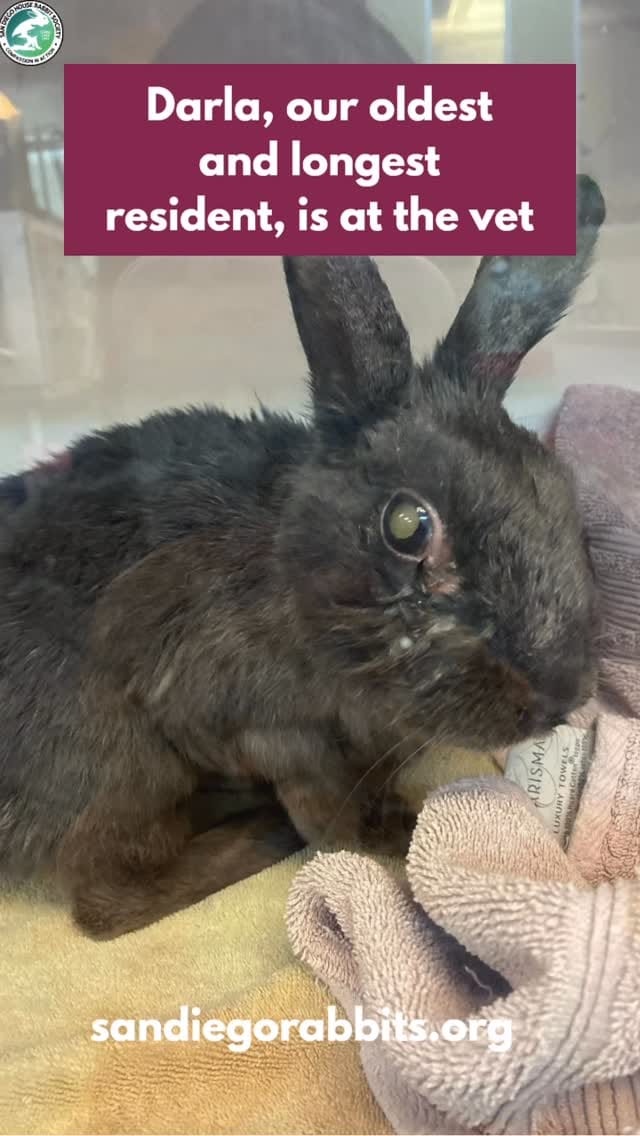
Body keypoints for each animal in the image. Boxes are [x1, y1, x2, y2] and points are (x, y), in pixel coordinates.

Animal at [0, 174, 605, 939]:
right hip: (127, 762)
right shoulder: (258, 722)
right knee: (106, 900)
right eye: (407, 526)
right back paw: (257, 832)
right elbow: (327, 809)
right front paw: (389, 832)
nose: (560, 697)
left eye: (560, 490)